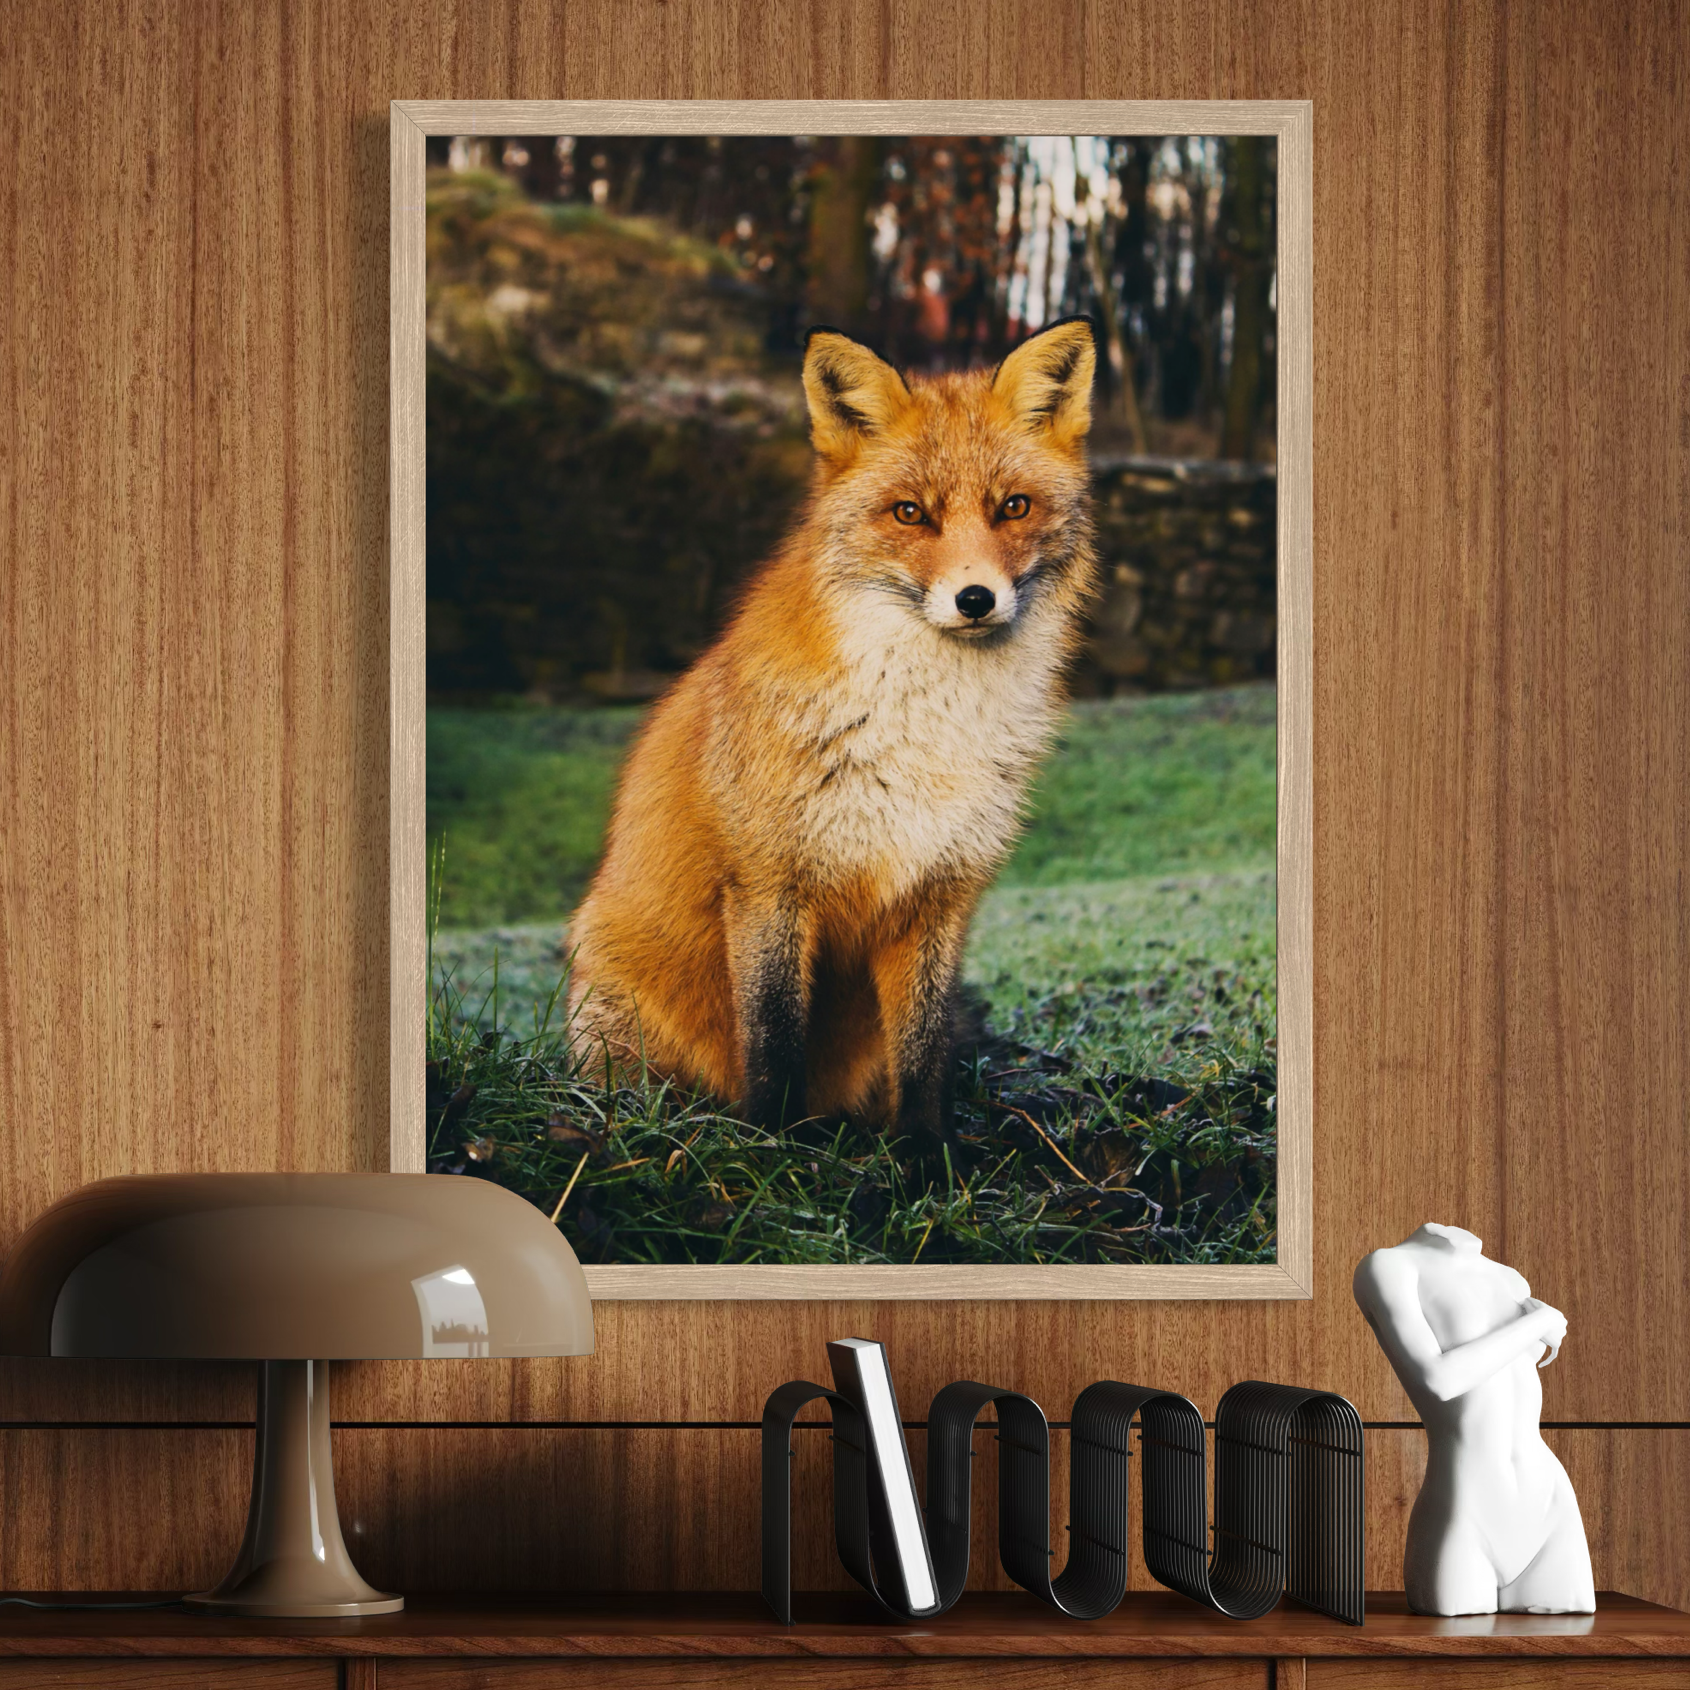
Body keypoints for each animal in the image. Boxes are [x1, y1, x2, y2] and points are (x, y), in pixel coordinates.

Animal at [566, 315, 1099, 1152]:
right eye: (910, 513)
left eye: (1013, 507)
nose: (975, 599)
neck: (926, 731)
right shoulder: (769, 884)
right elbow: (775, 1038)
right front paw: (775, 1150)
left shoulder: (940, 895)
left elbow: (924, 1052)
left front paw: (927, 1159)